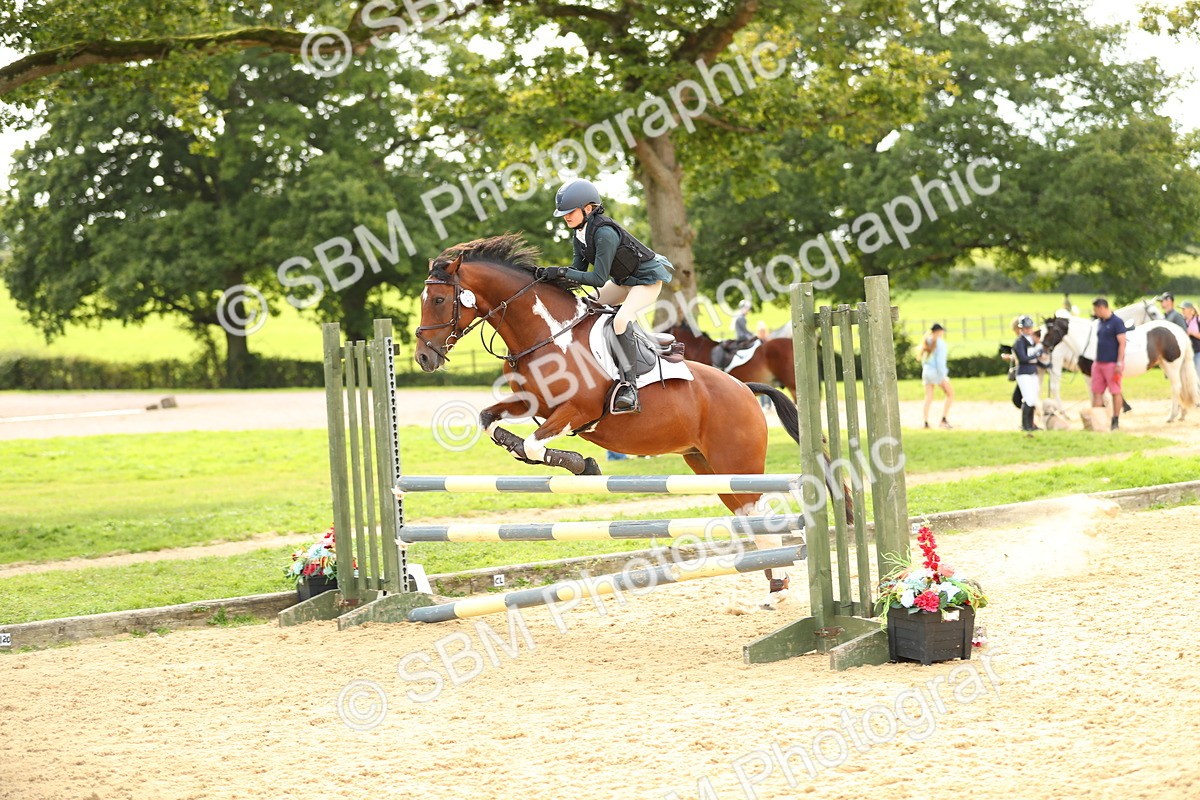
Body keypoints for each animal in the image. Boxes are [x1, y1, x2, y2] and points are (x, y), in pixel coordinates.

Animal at [1041, 316, 1200, 422]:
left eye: (1050, 330)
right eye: (1041, 331)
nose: (1043, 349)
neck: (1089, 342)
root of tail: (1178, 330)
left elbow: (1104, 398)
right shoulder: (1088, 375)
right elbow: (1094, 397)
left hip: (1171, 366)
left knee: (1176, 388)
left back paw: (1171, 416)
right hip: (1165, 365)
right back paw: (1181, 414)